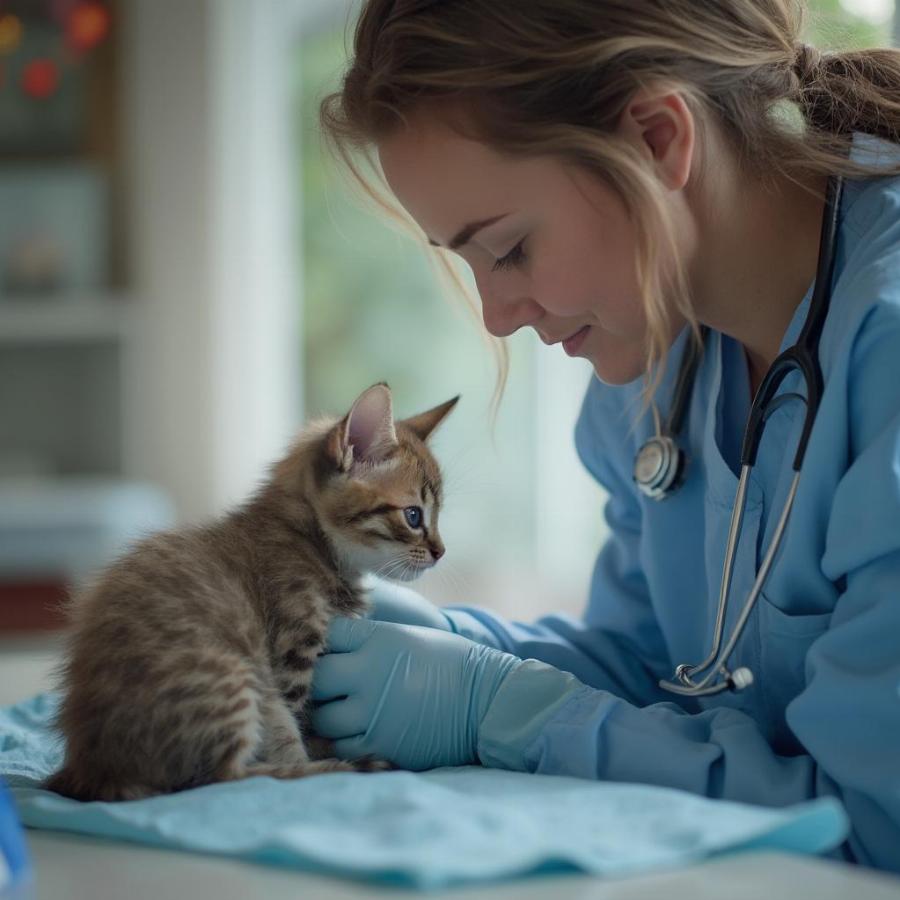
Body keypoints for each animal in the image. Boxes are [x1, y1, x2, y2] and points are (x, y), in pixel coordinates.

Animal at [44, 382, 458, 800]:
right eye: (413, 516)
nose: (441, 552)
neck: (312, 539)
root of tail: (92, 768)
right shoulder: (293, 652)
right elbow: (297, 721)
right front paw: (319, 754)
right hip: (230, 674)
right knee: (225, 777)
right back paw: (336, 768)